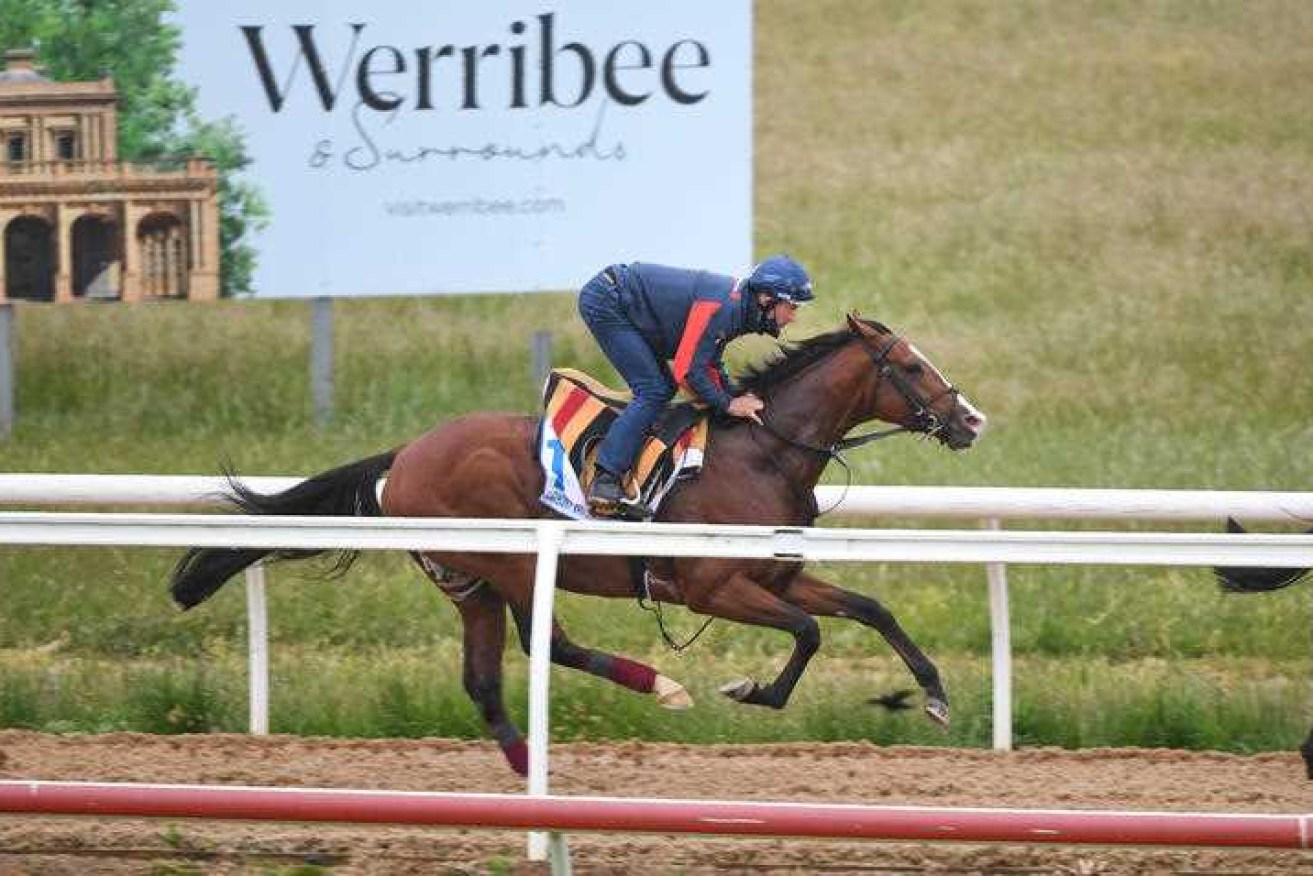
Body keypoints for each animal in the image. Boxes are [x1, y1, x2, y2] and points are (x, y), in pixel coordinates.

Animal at [172, 315, 987, 772]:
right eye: (909, 366)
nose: (970, 420)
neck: (761, 454)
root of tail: (401, 457)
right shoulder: (712, 587)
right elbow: (810, 632)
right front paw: (750, 690)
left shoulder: (776, 575)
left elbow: (869, 609)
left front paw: (936, 696)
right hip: (509, 560)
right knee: (546, 645)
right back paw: (658, 688)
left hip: (468, 582)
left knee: (487, 678)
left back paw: (529, 769)